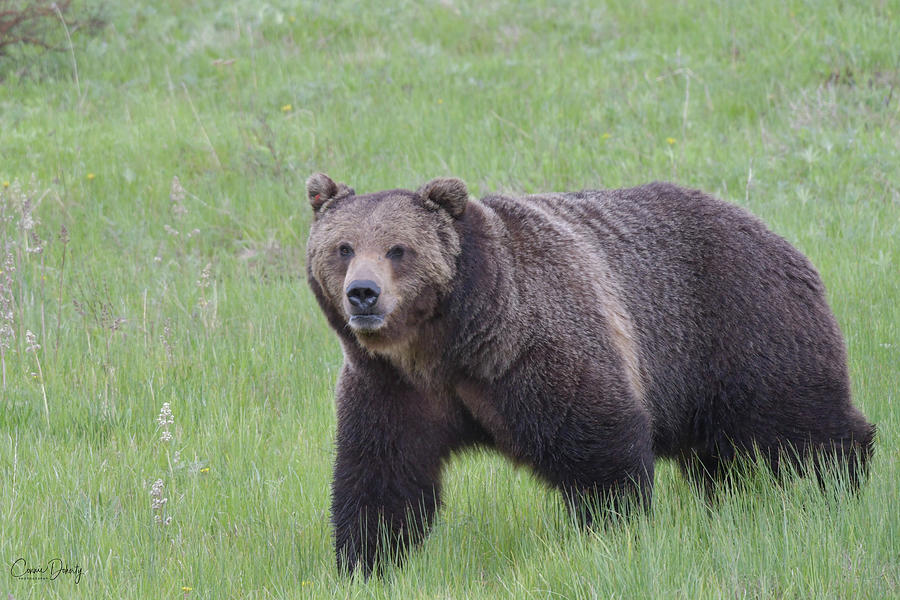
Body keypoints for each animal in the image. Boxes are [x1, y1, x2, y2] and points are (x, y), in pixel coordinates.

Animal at [302, 173, 872, 576]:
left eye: (399, 248)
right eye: (343, 247)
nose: (363, 294)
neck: (445, 345)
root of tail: (777, 235)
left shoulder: (532, 351)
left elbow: (598, 446)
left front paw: (614, 531)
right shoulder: (393, 387)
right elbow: (382, 474)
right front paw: (365, 560)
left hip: (742, 329)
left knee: (802, 424)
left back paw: (844, 482)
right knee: (724, 460)